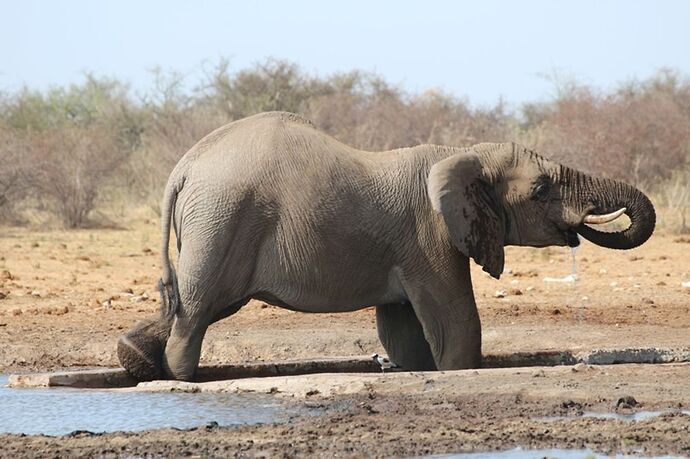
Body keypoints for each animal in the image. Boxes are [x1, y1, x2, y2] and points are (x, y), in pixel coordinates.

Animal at [117, 110, 652, 380]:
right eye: (541, 189)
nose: (578, 227)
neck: (461, 154)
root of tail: (185, 166)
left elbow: (404, 330)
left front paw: (417, 370)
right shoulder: (431, 238)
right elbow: (456, 321)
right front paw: (461, 371)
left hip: (215, 225)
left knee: (198, 302)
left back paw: (134, 356)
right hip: (222, 221)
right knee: (200, 307)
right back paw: (181, 376)